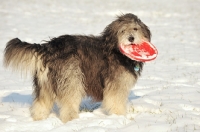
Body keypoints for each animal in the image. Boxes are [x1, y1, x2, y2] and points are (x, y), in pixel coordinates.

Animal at [3, 13, 150, 122]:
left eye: (135, 29)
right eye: (122, 31)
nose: (131, 38)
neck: (115, 49)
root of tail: (48, 48)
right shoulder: (116, 85)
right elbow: (116, 102)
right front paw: (119, 117)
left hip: (45, 84)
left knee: (41, 104)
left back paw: (39, 120)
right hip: (71, 78)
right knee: (68, 103)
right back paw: (72, 120)